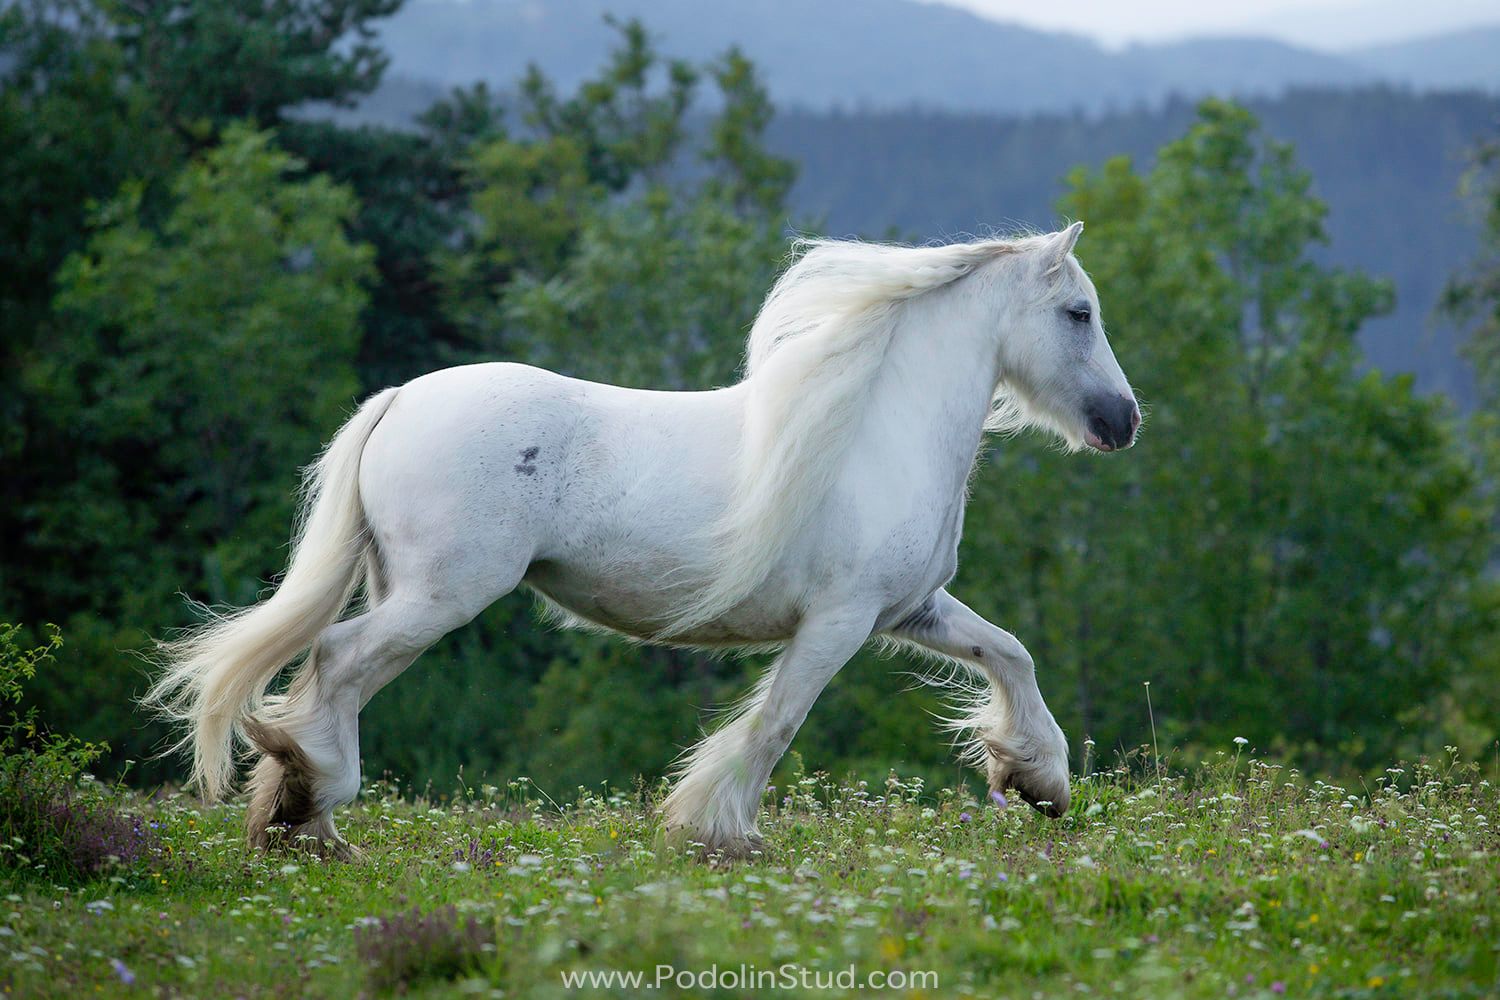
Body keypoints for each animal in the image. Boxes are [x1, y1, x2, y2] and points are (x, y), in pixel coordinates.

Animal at [146, 223, 1140, 857]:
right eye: (1080, 314)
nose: (1123, 422)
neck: (873, 431)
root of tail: (400, 399)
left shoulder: (912, 611)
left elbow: (1010, 655)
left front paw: (1040, 781)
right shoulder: (840, 622)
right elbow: (776, 724)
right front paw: (721, 833)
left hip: (410, 590)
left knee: (326, 672)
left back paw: (299, 818)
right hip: (441, 596)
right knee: (339, 661)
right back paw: (312, 812)